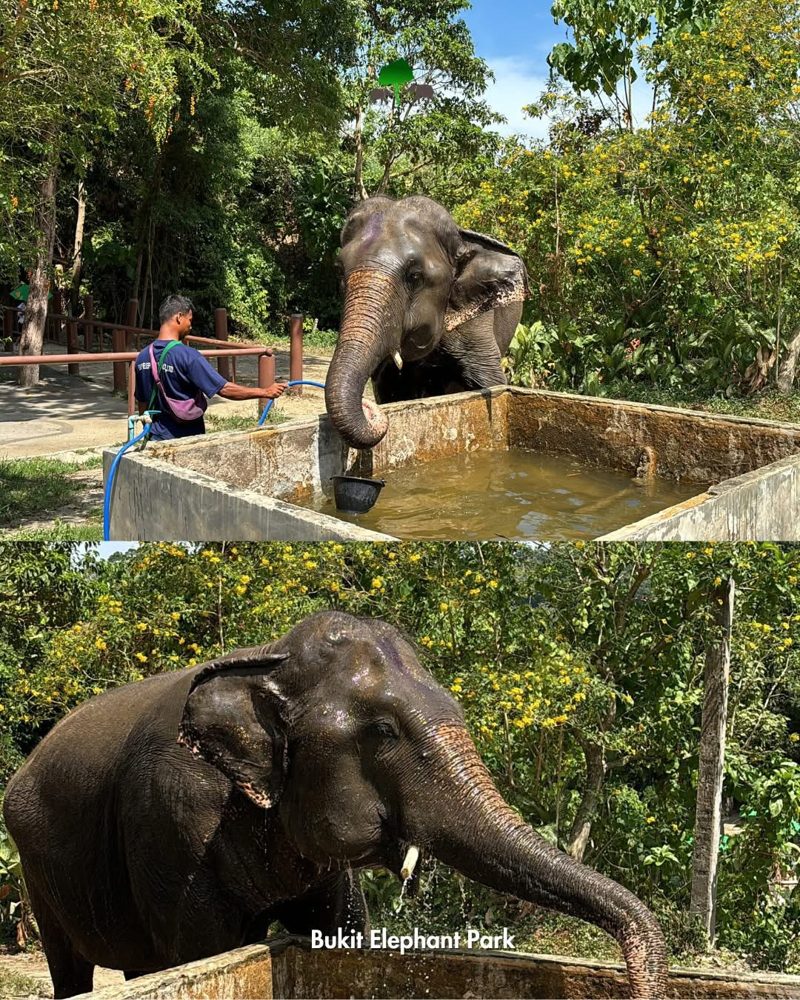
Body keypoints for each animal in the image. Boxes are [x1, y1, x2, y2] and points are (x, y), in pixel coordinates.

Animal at [3, 611, 666, 999]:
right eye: (383, 730)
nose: (636, 985)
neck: (266, 657)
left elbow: (340, 931)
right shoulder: (173, 824)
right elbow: (201, 950)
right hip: (35, 866)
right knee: (72, 964)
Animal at [324, 195, 530, 450]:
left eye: (414, 276)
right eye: (340, 271)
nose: (372, 411)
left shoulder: (476, 326)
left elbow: (490, 382)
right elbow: (390, 386)